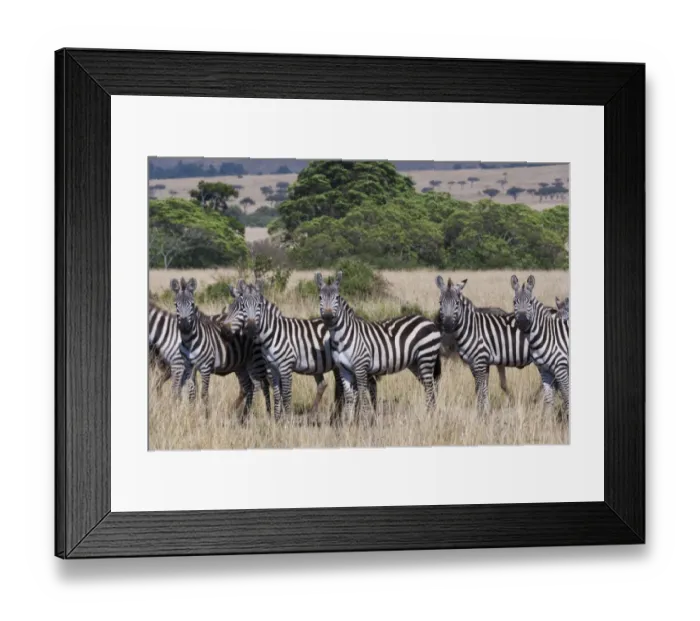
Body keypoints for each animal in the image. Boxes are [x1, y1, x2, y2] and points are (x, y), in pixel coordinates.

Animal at [171, 277, 271, 421]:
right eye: (176, 305)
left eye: (192, 304)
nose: (184, 326)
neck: (190, 340)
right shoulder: (189, 366)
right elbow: (190, 391)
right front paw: (190, 413)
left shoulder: (205, 366)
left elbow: (202, 393)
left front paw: (205, 416)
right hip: (242, 365)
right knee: (249, 386)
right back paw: (242, 415)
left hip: (256, 360)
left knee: (263, 384)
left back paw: (266, 413)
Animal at [222, 280, 379, 423]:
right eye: (231, 308)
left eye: (239, 308)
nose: (225, 330)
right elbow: (277, 392)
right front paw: (277, 418)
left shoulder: (273, 368)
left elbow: (278, 392)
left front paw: (280, 418)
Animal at [316, 271, 443, 424]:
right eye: (320, 297)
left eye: (337, 297)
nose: (328, 316)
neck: (341, 337)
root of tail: (428, 321)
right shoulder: (343, 369)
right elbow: (349, 397)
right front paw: (348, 424)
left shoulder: (361, 367)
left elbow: (363, 396)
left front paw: (364, 422)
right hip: (415, 363)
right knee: (430, 386)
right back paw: (431, 414)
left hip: (426, 357)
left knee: (430, 387)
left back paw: (430, 417)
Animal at [511, 275, 570, 418]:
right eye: (514, 302)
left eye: (530, 302)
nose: (522, 322)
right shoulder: (545, 371)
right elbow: (549, 400)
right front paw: (548, 421)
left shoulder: (561, 369)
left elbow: (566, 397)